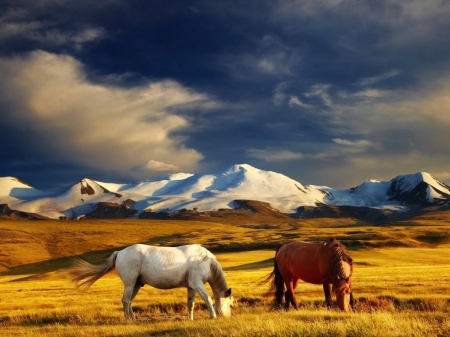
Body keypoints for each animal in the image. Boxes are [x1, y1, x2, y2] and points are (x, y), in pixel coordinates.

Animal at [69, 243, 236, 318]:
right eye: (231, 305)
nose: (226, 317)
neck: (204, 260)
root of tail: (120, 252)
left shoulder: (191, 286)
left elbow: (190, 304)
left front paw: (190, 319)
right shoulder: (197, 284)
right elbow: (208, 298)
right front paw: (213, 315)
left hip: (136, 284)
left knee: (129, 301)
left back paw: (133, 318)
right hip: (130, 283)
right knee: (125, 300)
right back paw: (129, 319)